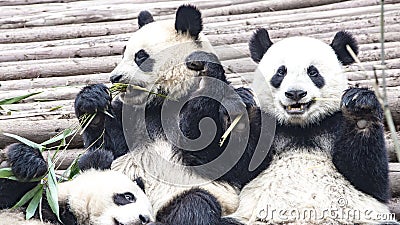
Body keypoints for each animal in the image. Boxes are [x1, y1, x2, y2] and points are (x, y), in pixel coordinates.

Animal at [222, 29, 396, 224]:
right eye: (281, 72)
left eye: (313, 72)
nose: (295, 93)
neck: (301, 127)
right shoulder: (270, 129)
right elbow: (237, 168)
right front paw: (241, 109)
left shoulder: (334, 124)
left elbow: (370, 178)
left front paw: (361, 109)